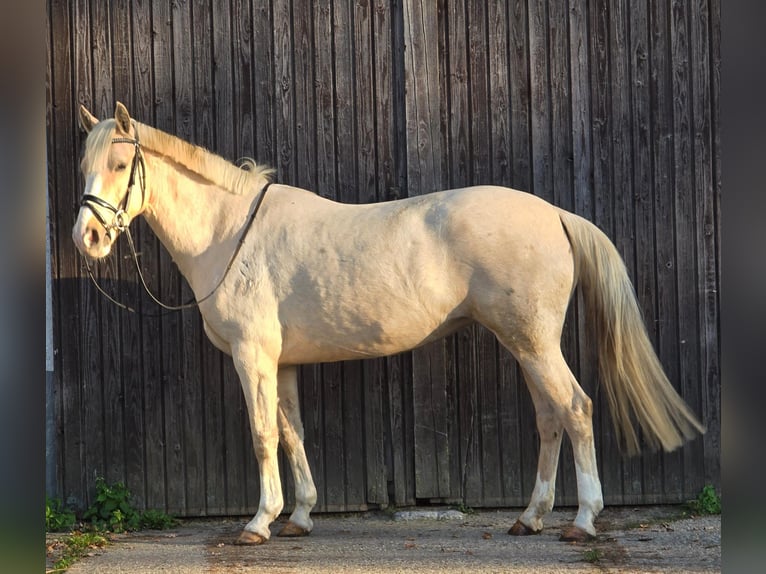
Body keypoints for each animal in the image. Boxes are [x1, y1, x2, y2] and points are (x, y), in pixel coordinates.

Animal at [72, 102, 704, 545]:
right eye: (84, 166)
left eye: (122, 164)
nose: (89, 238)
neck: (231, 234)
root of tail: (554, 213)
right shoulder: (285, 363)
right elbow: (293, 432)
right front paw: (299, 516)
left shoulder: (254, 358)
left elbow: (262, 434)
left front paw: (258, 523)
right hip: (525, 345)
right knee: (550, 420)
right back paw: (530, 518)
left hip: (535, 344)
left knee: (575, 409)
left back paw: (584, 520)